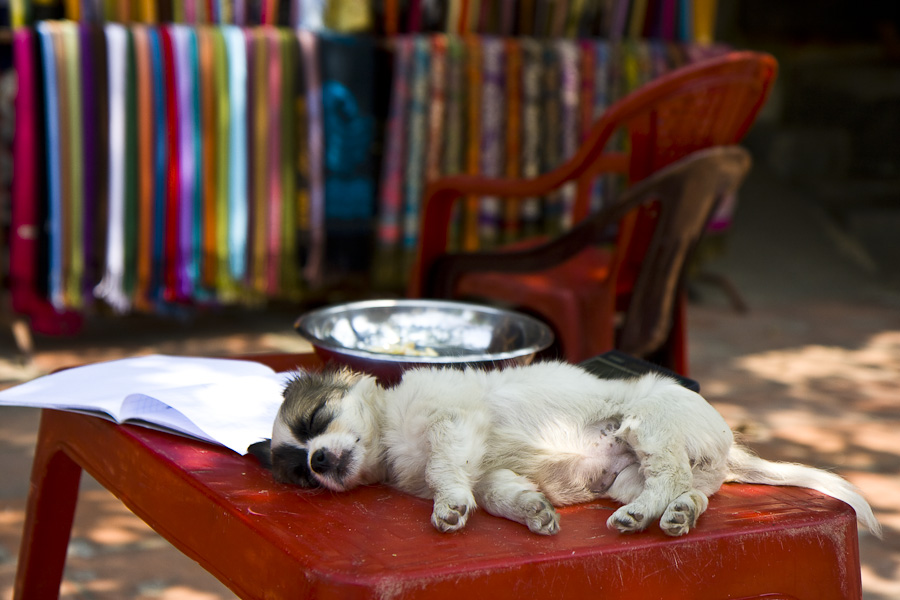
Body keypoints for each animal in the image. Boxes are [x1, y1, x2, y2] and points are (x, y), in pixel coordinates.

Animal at [249, 361, 882, 538]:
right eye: (300, 475)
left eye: (316, 419)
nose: (318, 461)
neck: (393, 439)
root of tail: (726, 445)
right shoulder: (488, 473)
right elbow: (501, 495)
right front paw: (533, 512)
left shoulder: (454, 426)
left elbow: (446, 469)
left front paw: (447, 507)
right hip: (633, 475)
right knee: (684, 494)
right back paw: (668, 515)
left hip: (646, 427)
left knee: (669, 477)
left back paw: (643, 517)